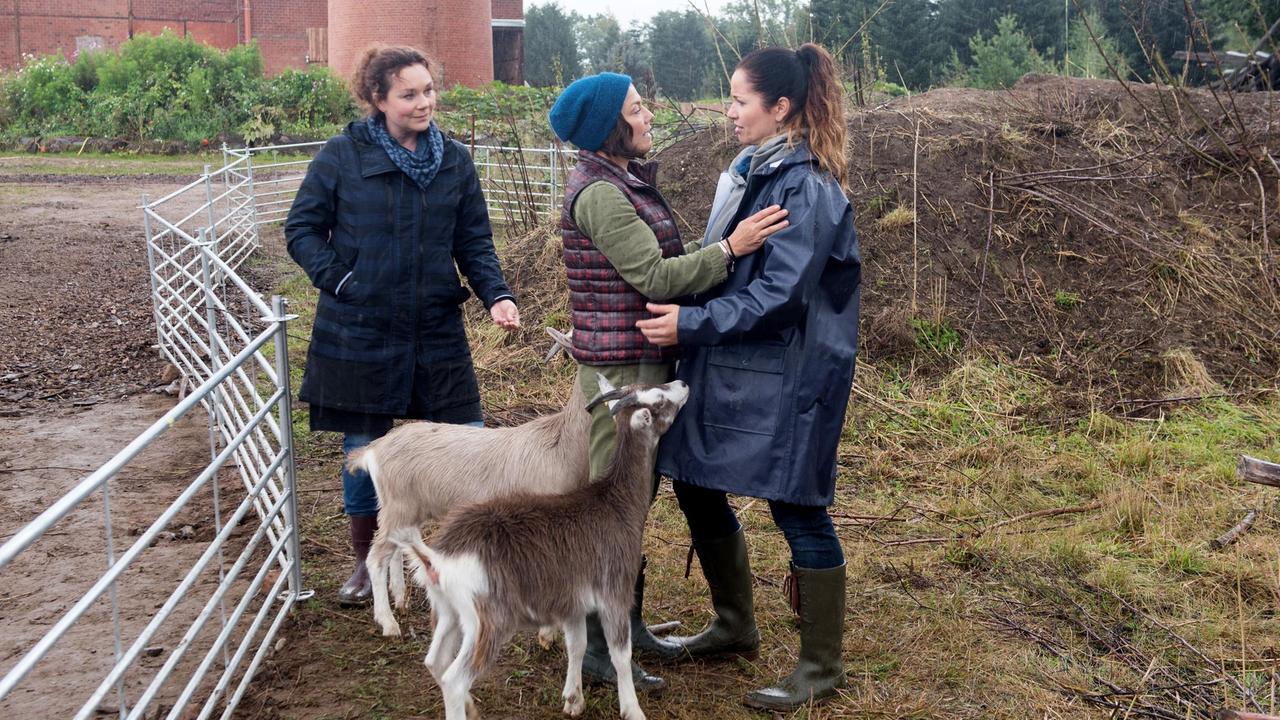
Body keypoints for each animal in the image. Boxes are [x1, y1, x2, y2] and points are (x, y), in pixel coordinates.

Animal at [350, 325, 588, 632]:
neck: (561, 444)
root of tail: (373, 450)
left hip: (404, 508)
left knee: (393, 547)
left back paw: (400, 599)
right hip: (399, 505)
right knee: (376, 556)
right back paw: (389, 623)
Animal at [394, 376, 691, 717]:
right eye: (658, 400)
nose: (682, 383)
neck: (616, 505)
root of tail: (437, 558)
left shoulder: (573, 600)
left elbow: (577, 646)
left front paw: (573, 700)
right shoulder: (614, 592)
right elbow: (620, 654)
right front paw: (632, 709)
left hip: (448, 611)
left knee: (435, 661)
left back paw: (469, 705)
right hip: (489, 618)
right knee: (454, 678)